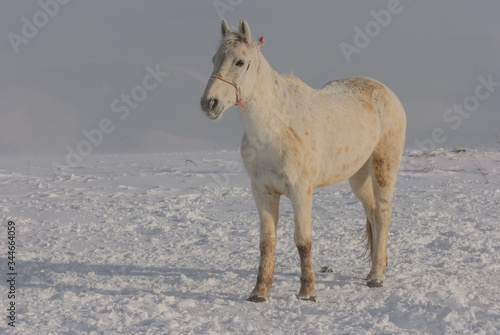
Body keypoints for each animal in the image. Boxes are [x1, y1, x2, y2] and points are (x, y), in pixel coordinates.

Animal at [200, 19, 406, 304]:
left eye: (240, 62)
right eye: (214, 59)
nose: (209, 103)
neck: (274, 129)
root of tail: (386, 92)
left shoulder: (301, 191)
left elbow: (302, 240)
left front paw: (307, 292)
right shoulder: (262, 192)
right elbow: (267, 241)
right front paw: (259, 292)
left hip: (383, 168)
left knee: (383, 214)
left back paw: (376, 277)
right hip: (358, 177)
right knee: (373, 214)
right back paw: (376, 267)